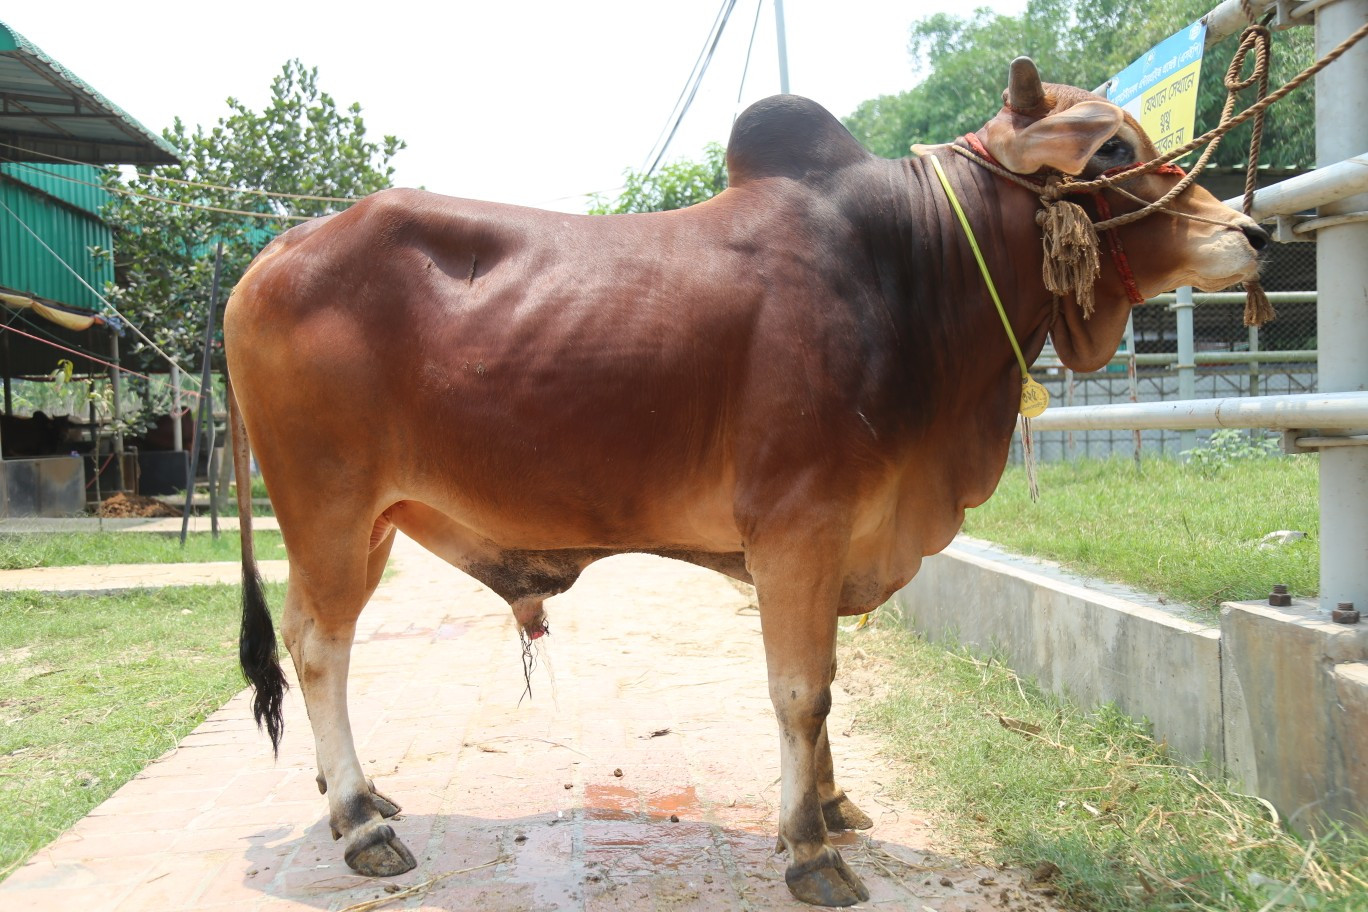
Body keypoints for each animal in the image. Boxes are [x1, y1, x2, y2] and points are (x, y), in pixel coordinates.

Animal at [225, 59, 1266, 906]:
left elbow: (827, 686)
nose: (1251, 230)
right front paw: (810, 850)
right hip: (327, 509)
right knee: (316, 645)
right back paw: (360, 823)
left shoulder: (834, 539)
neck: (912, 271)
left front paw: (835, 806)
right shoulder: (799, 525)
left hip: (374, 522)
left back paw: (361, 796)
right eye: (1113, 147)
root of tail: (274, 251)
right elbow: (801, 690)